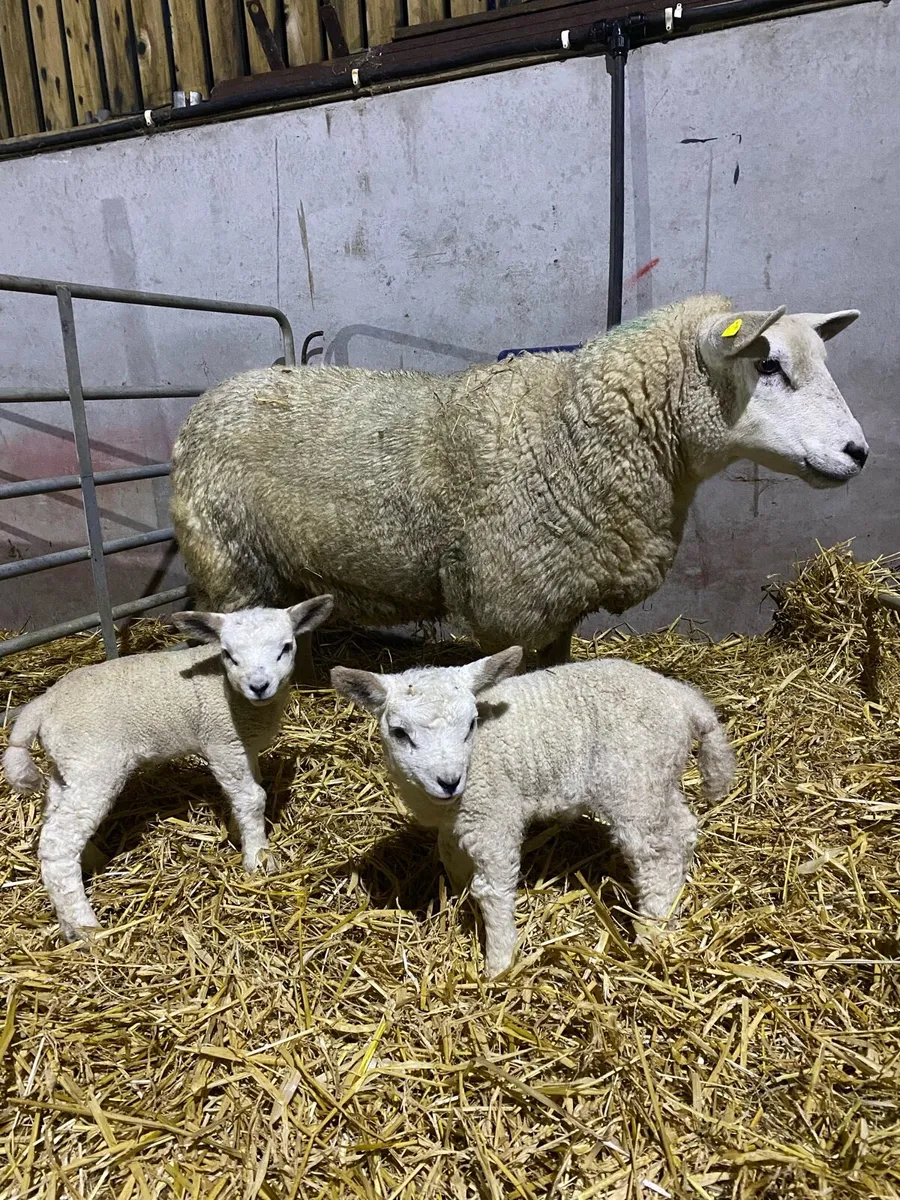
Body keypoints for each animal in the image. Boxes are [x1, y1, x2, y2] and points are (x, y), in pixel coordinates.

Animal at [1, 596, 333, 941]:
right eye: (228, 653)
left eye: (286, 647)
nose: (259, 685)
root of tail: (41, 705)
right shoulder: (222, 742)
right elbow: (252, 798)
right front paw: (258, 857)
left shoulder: (243, 746)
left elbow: (247, 788)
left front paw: (236, 829)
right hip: (94, 764)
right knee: (58, 843)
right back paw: (86, 927)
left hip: (68, 766)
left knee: (54, 819)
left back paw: (88, 869)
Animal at [171, 295, 866, 667]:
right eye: (768, 364)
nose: (858, 452)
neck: (574, 430)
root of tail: (206, 404)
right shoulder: (511, 607)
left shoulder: (561, 606)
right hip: (228, 560)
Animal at [332, 649, 735, 976]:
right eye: (400, 732)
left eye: (471, 724)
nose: (449, 780)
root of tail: (682, 697)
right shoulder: (458, 818)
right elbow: (451, 857)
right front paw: (458, 901)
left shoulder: (494, 813)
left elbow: (491, 888)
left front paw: (498, 964)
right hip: (658, 778)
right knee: (682, 828)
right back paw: (674, 900)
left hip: (633, 781)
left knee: (655, 853)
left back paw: (652, 930)